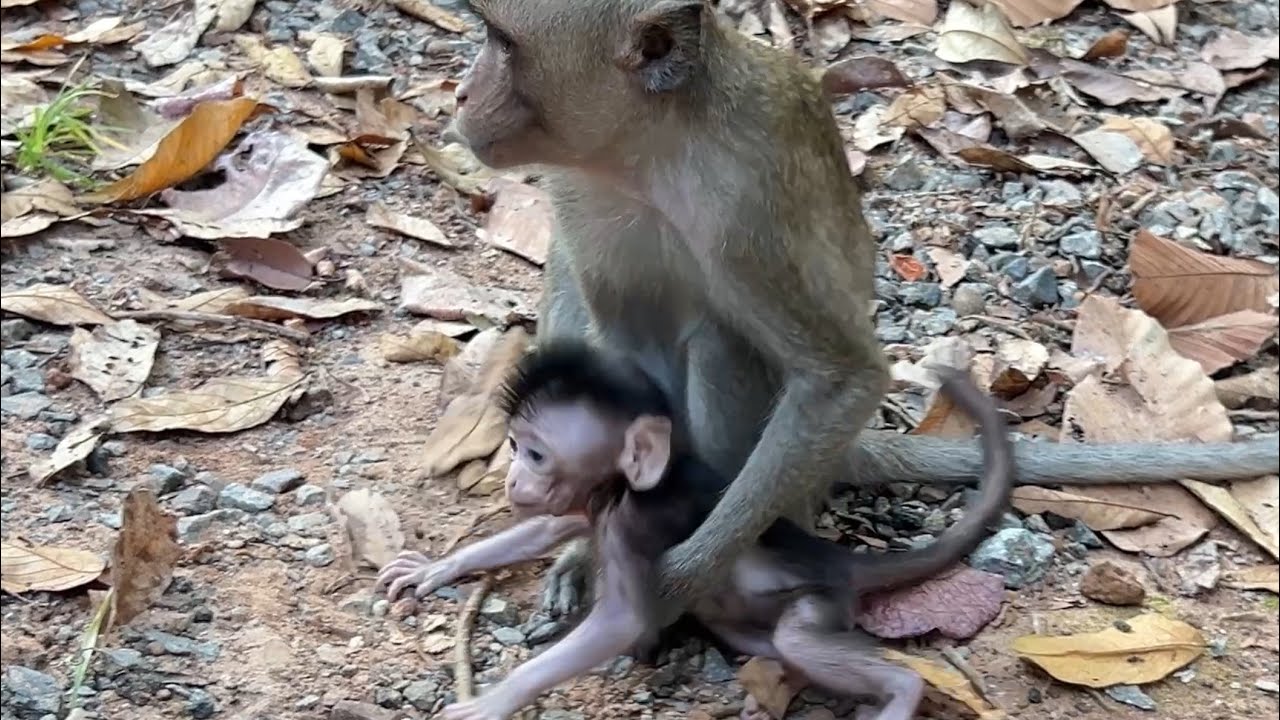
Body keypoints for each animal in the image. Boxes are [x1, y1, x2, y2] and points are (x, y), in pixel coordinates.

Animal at [377, 340, 1015, 720]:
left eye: (534, 454)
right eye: (512, 447)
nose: (513, 478)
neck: (621, 490)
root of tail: (836, 558)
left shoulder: (631, 522)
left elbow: (623, 621)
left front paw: (492, 702)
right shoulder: (593, 506)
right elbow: (546, 529)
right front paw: (438, 567)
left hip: (820, 599)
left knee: (800, 640)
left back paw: (901, 693)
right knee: (769, 643)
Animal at [440, 0, 1279, 616]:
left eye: (502, 44)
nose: (460, 92)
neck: (644, 151)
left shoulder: (748, 212)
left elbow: (841, 376)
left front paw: (678, 580)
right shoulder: (574, 183)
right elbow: (576, 289)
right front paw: (582, 545)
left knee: (722, 344)